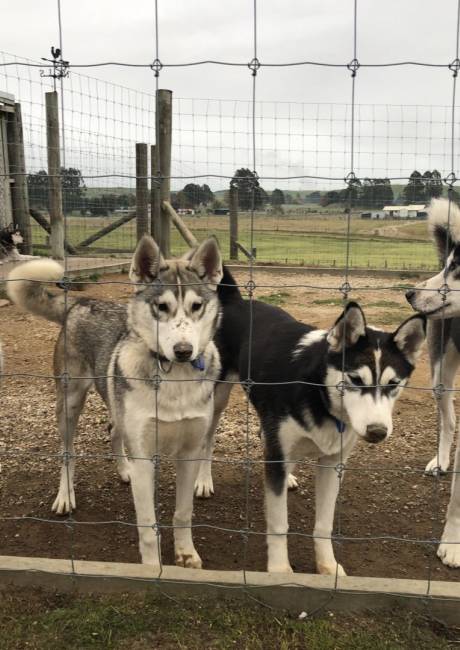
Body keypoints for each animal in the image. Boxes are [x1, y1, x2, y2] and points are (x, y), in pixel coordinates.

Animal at [6, 234, 223, 568]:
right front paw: (152, 567)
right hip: (69, 405)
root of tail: (79, 303)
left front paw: (187, 555)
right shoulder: (144, 456)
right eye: (161, 307)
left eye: (196, 306)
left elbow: (183, 513)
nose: (184, 350)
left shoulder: (188, 453)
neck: (175, 380)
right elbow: (148, 525)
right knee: (68, 453)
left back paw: (124, 471)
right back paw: (65, 497)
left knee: (113, 431)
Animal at [196, 268, 426, 572]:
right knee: (208, 439)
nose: (377, 432)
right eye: (355, 379)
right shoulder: (278, 455)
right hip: (218, 397)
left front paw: (327, 567)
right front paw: (280, 570)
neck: (319, 393)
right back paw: (203, 480)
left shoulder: (332, 463)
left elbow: (324, 525)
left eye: (393, 384)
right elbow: (279, 524)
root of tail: (237, 301)